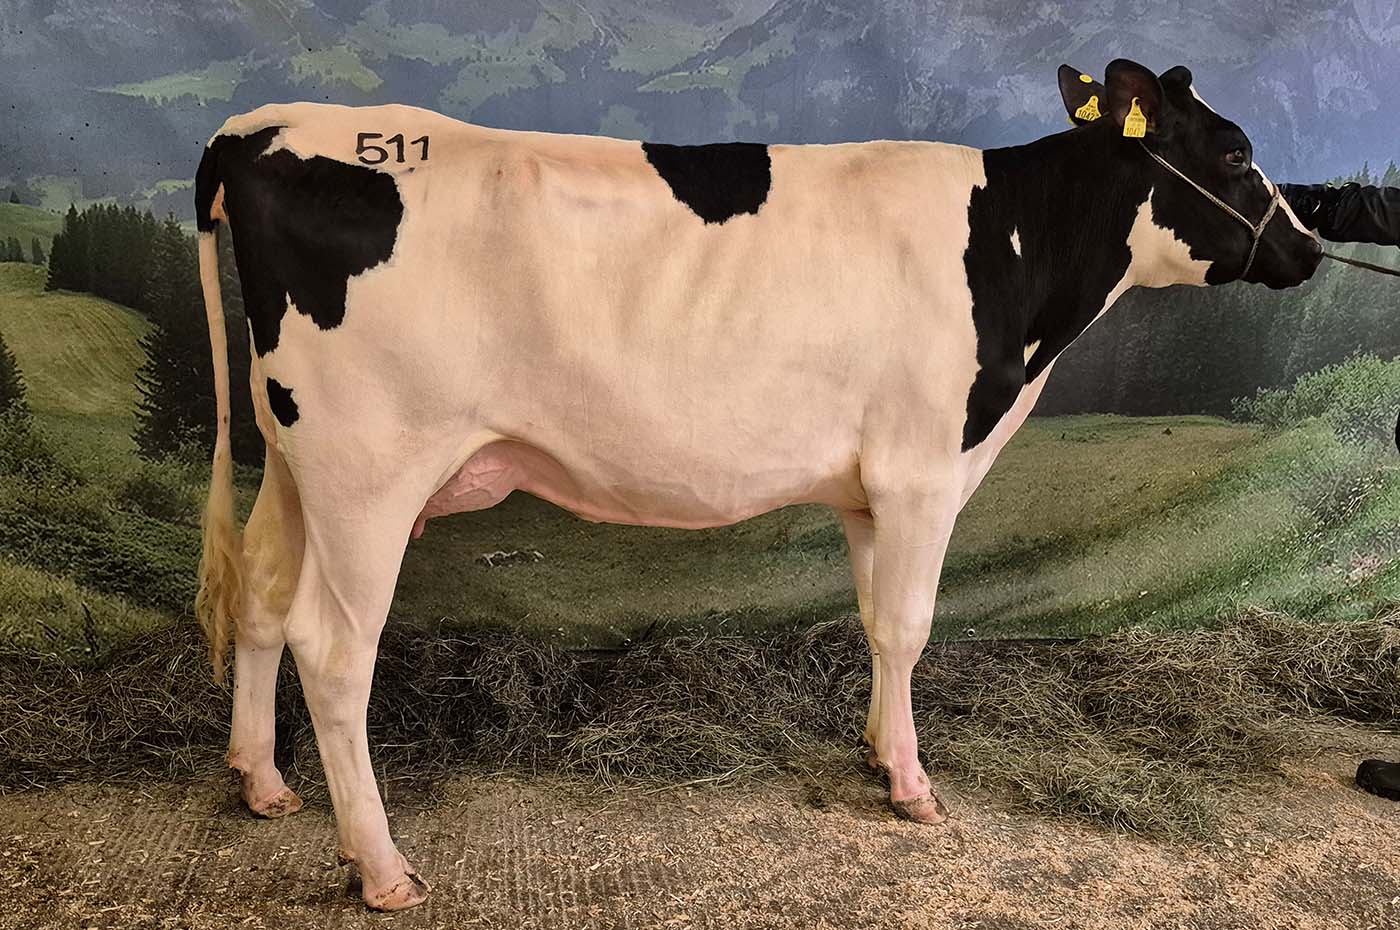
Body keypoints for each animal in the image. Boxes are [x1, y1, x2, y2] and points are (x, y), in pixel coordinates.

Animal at [192, 59, 1321, 910]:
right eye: (1233, 150)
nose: (1310, 246)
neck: (1012, 253)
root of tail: (260, 127)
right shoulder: (922, 466)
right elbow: (910, 624)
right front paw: (913, 786)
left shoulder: (868, 486)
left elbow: (873, 621)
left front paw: (876, 753)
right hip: (369, 468)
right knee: (333, 649)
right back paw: (380, 867)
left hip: (289, 453)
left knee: (261, 594)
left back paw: (261, 781)